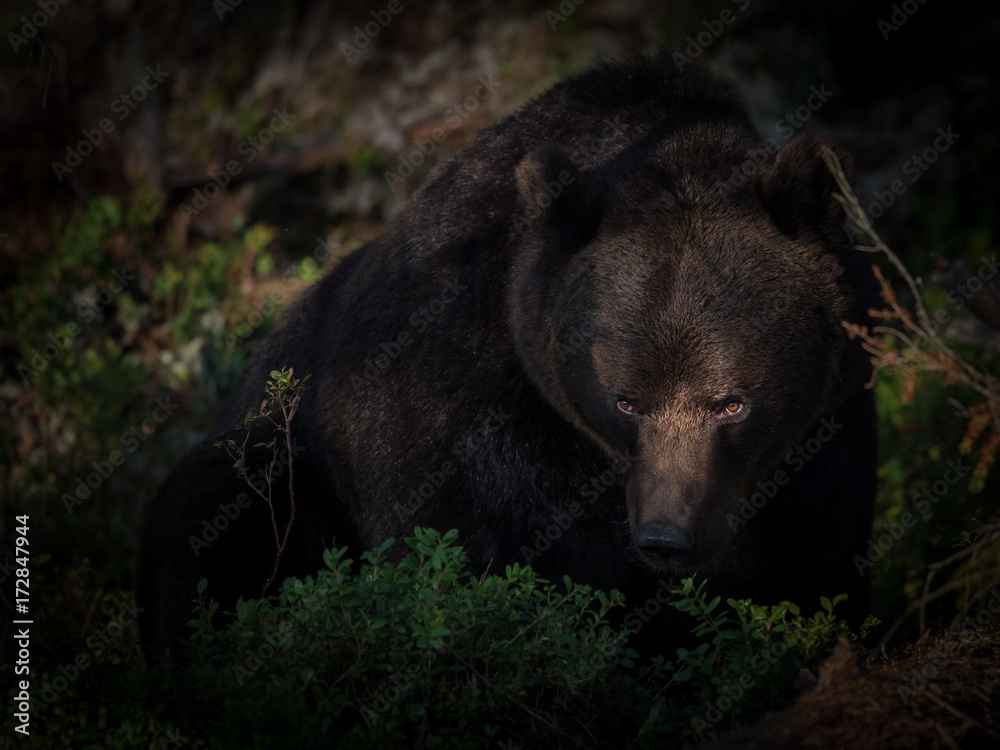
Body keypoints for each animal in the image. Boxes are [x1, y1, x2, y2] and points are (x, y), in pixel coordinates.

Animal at [137, 52, 878, 659]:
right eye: (626, 401)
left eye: (731, 402)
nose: (666, 537)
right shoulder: (462, 409)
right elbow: (486, 562)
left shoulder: (825, 435)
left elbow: (808, 571)